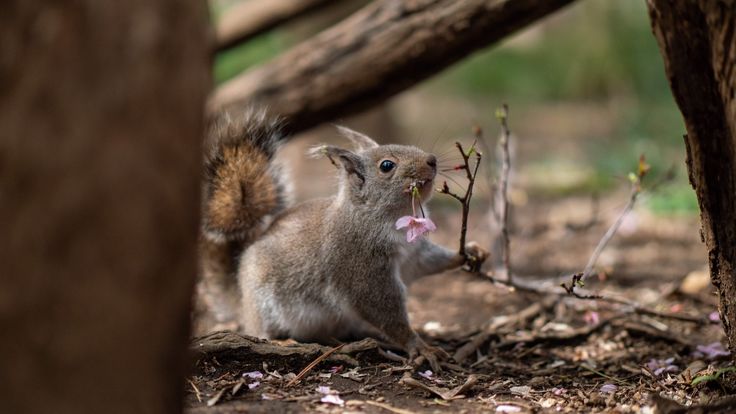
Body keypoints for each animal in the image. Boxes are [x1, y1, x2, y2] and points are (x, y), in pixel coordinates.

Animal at [201, 111, 486, 372]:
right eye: (387, 166)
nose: (432, 160)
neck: (381, 219)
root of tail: (240, 296)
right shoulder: (361, 268)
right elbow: (383, 308)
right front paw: (420, 346)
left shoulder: (415, 254)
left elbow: (432, 261)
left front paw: (469, 252)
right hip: (261, 301)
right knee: (260, 330)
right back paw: (282, 341)